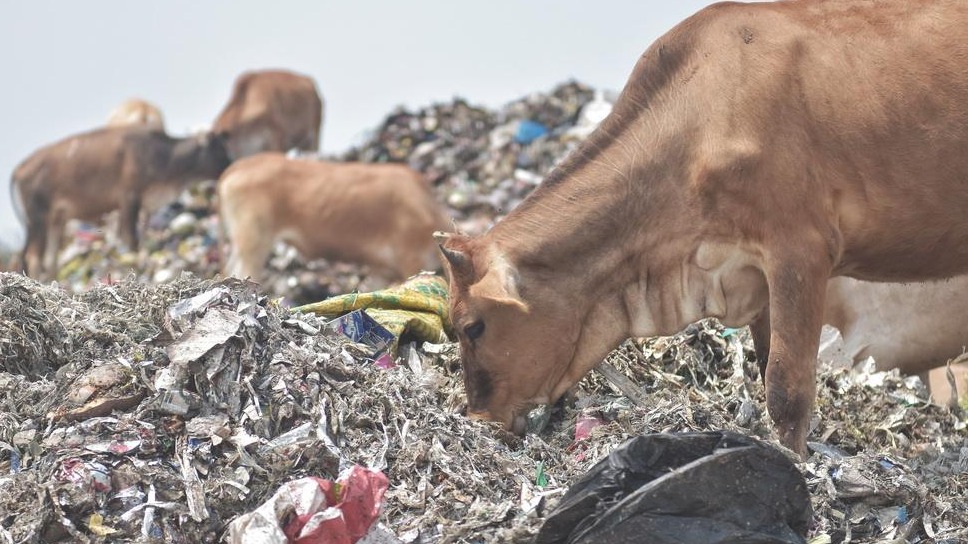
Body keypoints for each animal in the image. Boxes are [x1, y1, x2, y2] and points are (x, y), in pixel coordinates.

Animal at [11, 126, 231, 280]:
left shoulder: (144, 206)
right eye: (219, 150)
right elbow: (131, 241)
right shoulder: (129, 199)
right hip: (38, 217)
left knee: (49, 259)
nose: (231, 166)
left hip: (56, 220)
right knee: (34, 257)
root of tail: (20, 168)